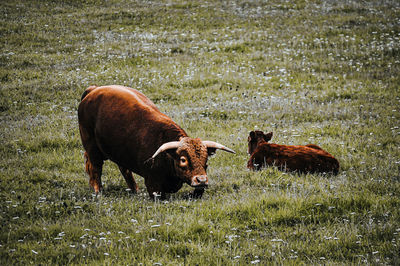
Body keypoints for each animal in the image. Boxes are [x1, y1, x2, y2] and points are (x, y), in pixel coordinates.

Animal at [78, 84, 234, 198]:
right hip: (92, 147)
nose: (201, 180)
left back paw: (135, 190)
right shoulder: (153, 185)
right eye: (183, 159)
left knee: (124, 169)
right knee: (96, 168)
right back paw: (98, 192)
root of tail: (94, 90)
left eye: (206, 158)